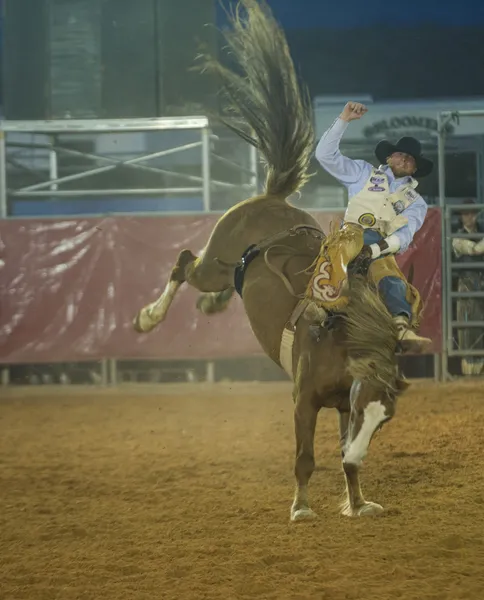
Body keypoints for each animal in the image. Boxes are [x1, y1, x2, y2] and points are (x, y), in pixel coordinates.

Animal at [132, 0, 408, 524]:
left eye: (384, 419)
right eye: (367, 406)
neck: (336, 337)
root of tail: (271, 196)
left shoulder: (338, 408)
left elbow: (344, 462)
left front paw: (358, 503)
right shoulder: (304, 401)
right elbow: (305, 457)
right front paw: (301, 508)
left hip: (229, 271)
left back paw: (212, 307)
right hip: (213, 262)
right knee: (183, 262)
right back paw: (148, 317)